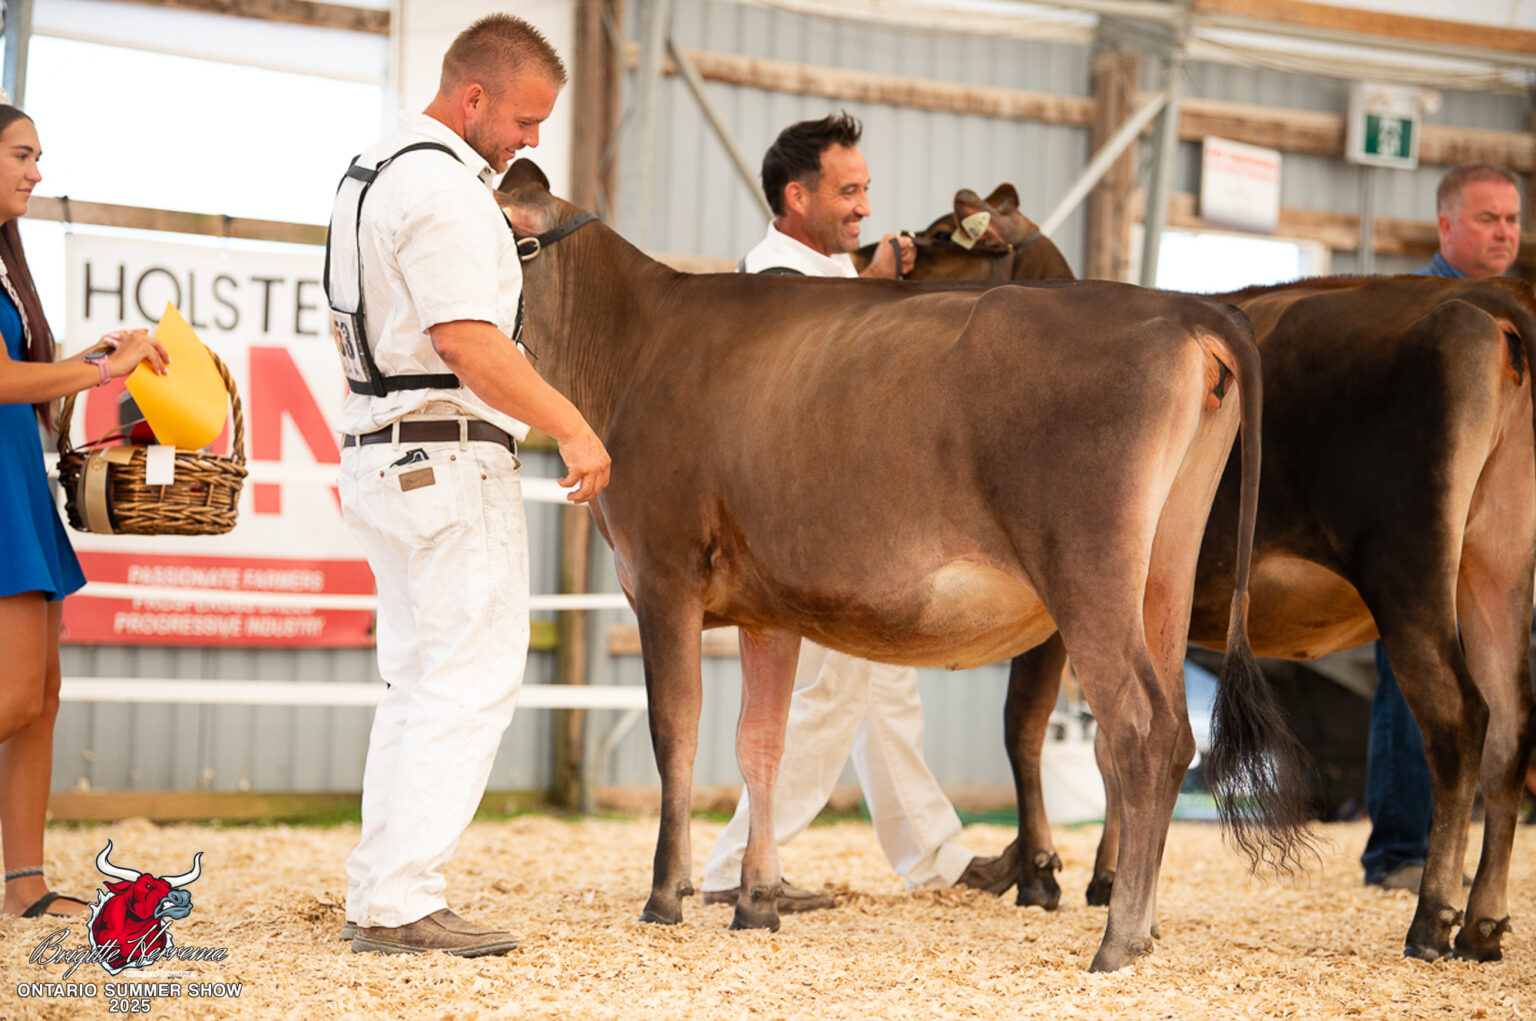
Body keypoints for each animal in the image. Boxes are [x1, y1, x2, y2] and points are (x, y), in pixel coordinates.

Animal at [496, 158, 1305, 972]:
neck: (633, 346)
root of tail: (1184, 309)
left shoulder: (661, 574)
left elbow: (677, 733)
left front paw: (666, 896)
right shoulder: (767, 610)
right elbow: (762, 745)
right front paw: (758, 900)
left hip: (1087, 569)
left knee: (1140, 728)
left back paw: (1118, 938)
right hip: (1165, 565)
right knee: (1175, 726)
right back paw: (1144, 925)